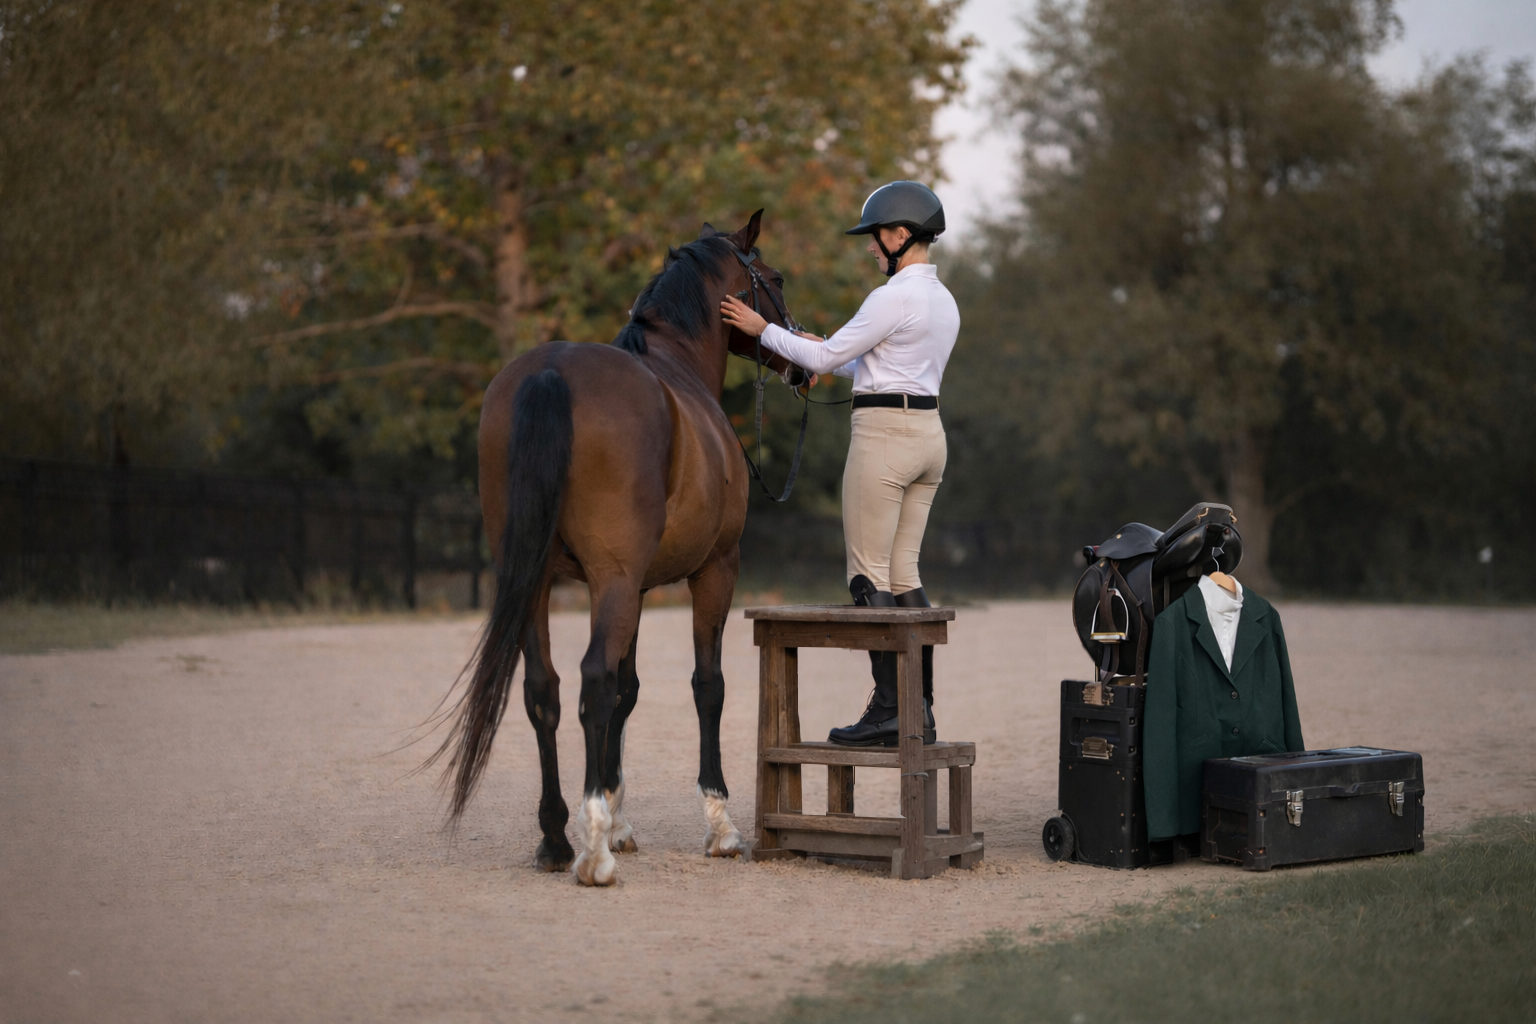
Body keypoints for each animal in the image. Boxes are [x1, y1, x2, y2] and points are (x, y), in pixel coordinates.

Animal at [426, 211, 809, 886]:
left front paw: (620, 816)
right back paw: (593, 852)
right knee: (590, 683)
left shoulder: (635, 584)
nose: (800, 364)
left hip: (537, 582)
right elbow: (703, 685)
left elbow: (628, 693)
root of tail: (552, 371)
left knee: (546, 690)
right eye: (777, 279)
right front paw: (718, 825)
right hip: (616, 580)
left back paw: (557, 837)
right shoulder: (713, 570)